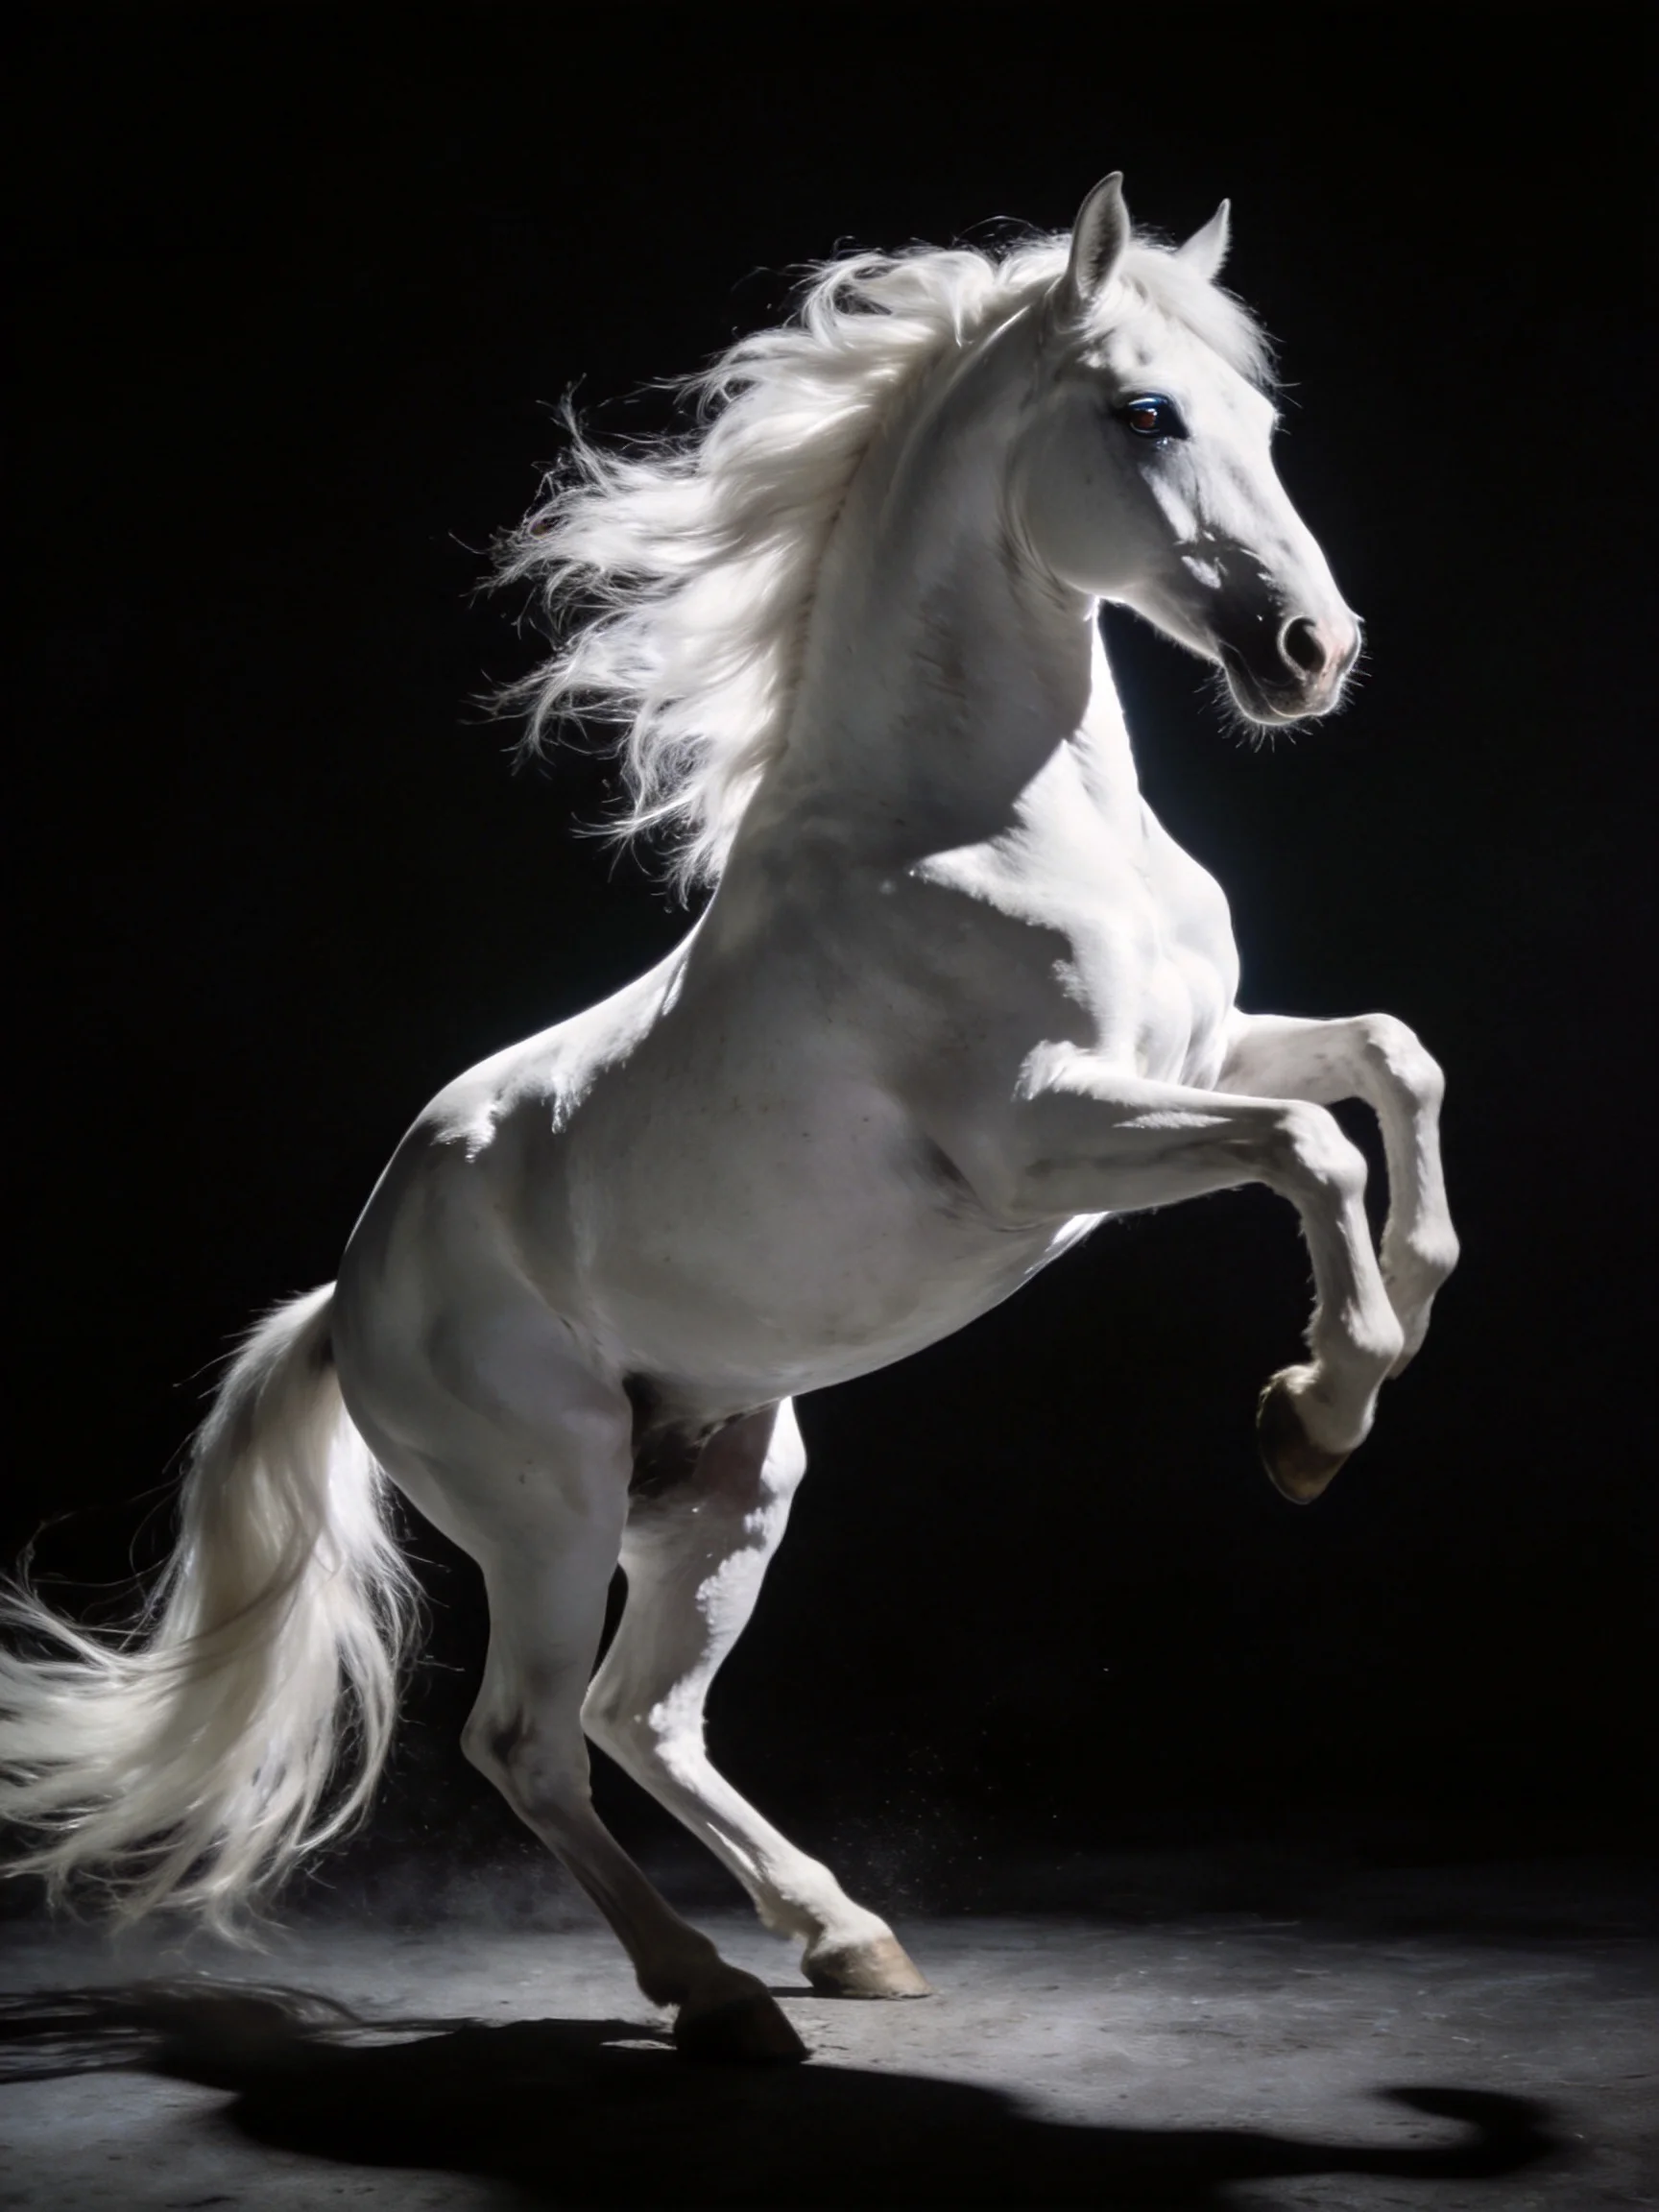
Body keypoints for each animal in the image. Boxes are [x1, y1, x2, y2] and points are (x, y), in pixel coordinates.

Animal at [0, 175, 1457, 2062]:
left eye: (1262, 423)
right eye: (1145, 412)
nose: (1311, 651)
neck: (976, 820)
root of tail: (347, 1298)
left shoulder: (1198, 1045)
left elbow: (1389, 1061)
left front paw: (1367, 1346)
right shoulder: (1041, 1144)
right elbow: (1310, 1148)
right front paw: (1314, 1415)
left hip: (729, 1485)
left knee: (640, 1717)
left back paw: (844, 1937)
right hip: (545, 1502)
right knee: (527, 1740)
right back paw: (714, 1995)